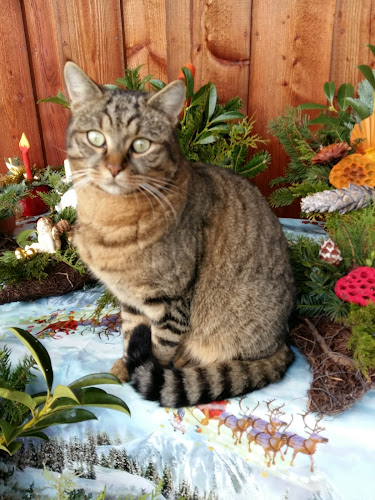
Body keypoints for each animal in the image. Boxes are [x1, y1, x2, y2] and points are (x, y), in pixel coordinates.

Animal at [63, 61, 296, 406]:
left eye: (141, 144)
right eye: (95, 138)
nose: (114, 168)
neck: (109, 217)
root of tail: (285, 343)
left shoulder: (170, 300)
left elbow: (159, 349)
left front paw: (147, 370)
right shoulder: (130, 300)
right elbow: (130, 334)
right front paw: (124, 365)